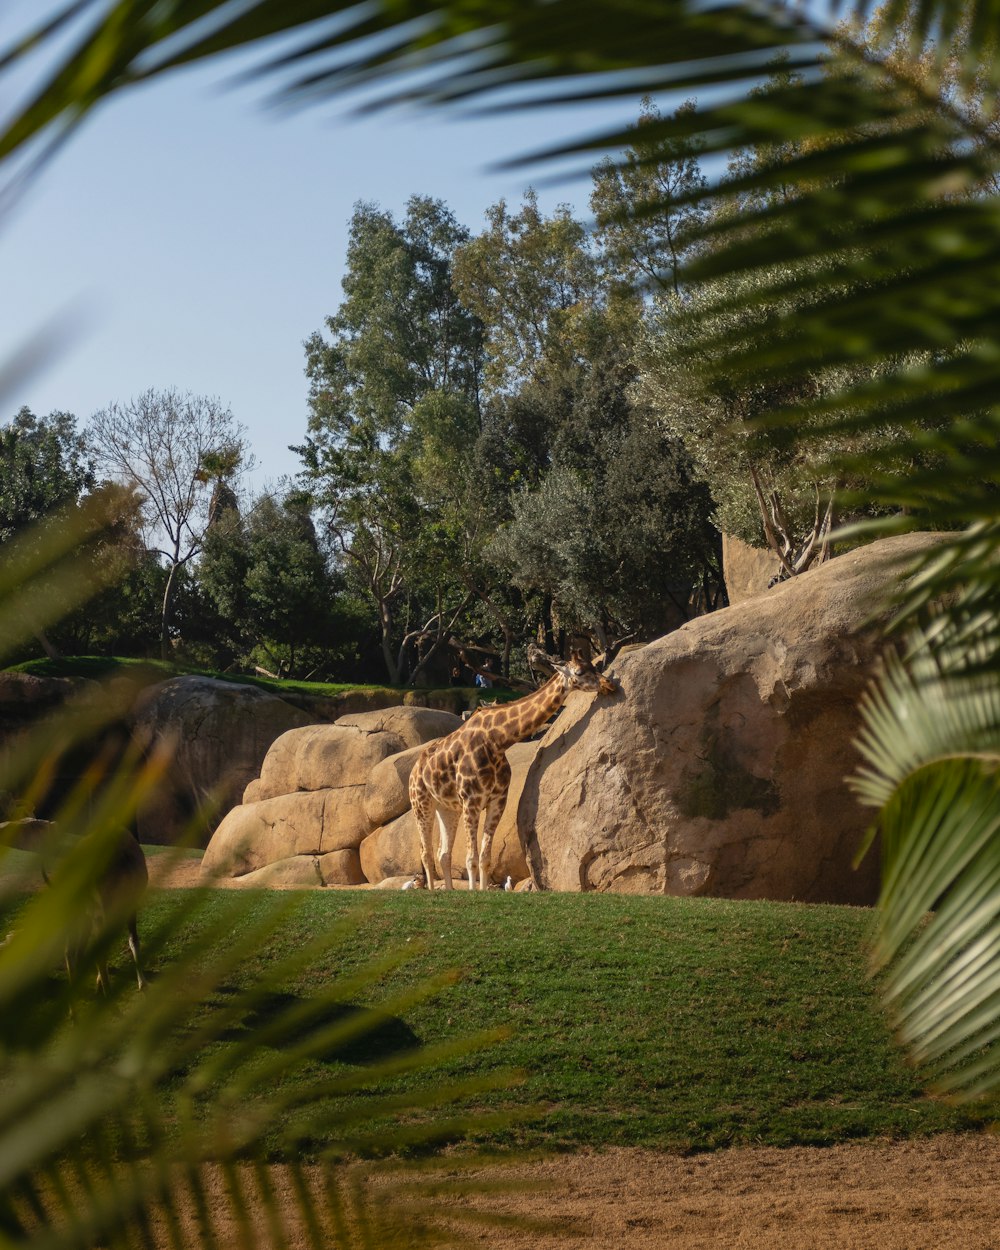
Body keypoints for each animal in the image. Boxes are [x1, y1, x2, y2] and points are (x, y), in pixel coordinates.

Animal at [407, 655, 617, 890]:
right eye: (580, 672)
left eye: (593, 666)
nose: (609, 684)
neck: (496, 741)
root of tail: (414, 770)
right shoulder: (472, 801)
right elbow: (471, 858)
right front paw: (472, 892)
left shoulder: (497, 801)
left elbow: (485, 858)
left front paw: (481, 891)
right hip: (421, 803)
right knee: (426, 853)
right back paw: (432, 890)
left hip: (447, 808)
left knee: (443, 853)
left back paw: (450, 891)